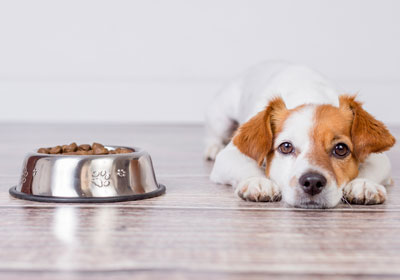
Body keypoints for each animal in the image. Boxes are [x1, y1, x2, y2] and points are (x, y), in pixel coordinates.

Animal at [205, 62, 396, 209]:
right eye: (286, 147)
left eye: (341, 149)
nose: (312, 182)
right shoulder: (229, 155)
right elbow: (246, 165)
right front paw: (257, 181)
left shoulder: (378, 157)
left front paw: (363, 184)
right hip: (222, 118)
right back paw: (212, 148)